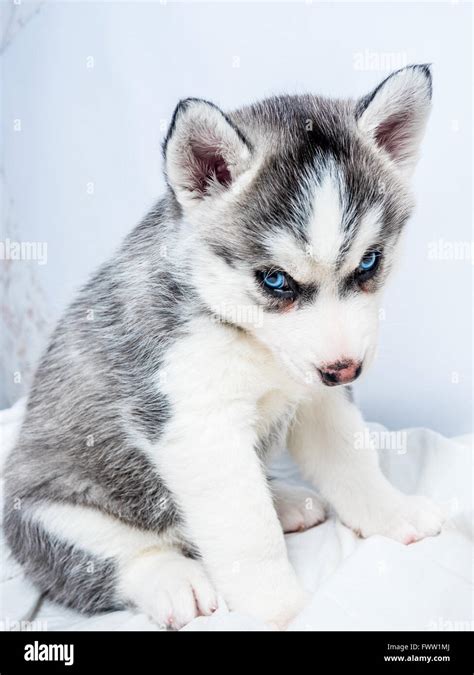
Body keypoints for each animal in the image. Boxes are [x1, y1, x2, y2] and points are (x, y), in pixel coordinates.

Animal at [3, 66, 442, 632]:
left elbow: (353, 462)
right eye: (275, 279)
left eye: (369, 262)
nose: (345, 371)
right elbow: (248, 533)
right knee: (113, 560)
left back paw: (284, 502)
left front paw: (391, 513)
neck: (252, 338)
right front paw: (284, 610)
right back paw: (173, 580)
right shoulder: (195, 424)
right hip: (47, 514)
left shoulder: (317, 397)